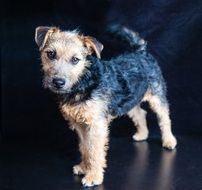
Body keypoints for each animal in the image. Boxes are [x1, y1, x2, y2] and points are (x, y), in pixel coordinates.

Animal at [34, 24, 177, 186]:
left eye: (75, 59)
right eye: (51, 54)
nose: (58, 82)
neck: (83, 81)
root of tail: (141, 52)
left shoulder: (96, 125)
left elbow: (95, 151)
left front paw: (93, 176)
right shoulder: (80, 124)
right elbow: (85, 148)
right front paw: (84, 167)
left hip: (157, 96)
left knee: (164, 118)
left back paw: (169, 141)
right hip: (130, 100)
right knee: (140, 113)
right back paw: (142, 134)